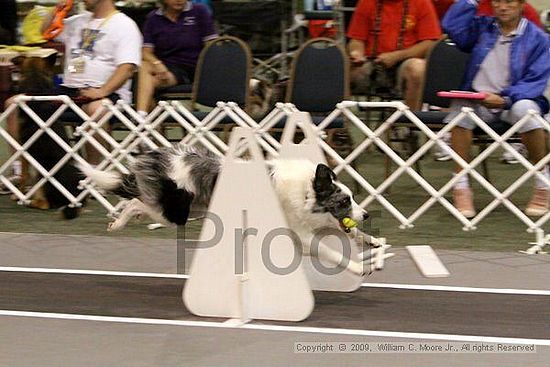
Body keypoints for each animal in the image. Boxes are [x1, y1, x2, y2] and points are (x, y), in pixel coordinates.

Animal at [81, 144, 392, 276]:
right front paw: (358, 267)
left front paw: (374, 241)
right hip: (175, 211)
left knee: (136, 202)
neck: (305, 190)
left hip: (191, 208)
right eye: (343, 202)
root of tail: (155, 156)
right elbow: (332, 252)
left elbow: (351, 235)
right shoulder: (301, 235)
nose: (366, 215)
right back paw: (118, 223)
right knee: (136, 202)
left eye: (352, 198)